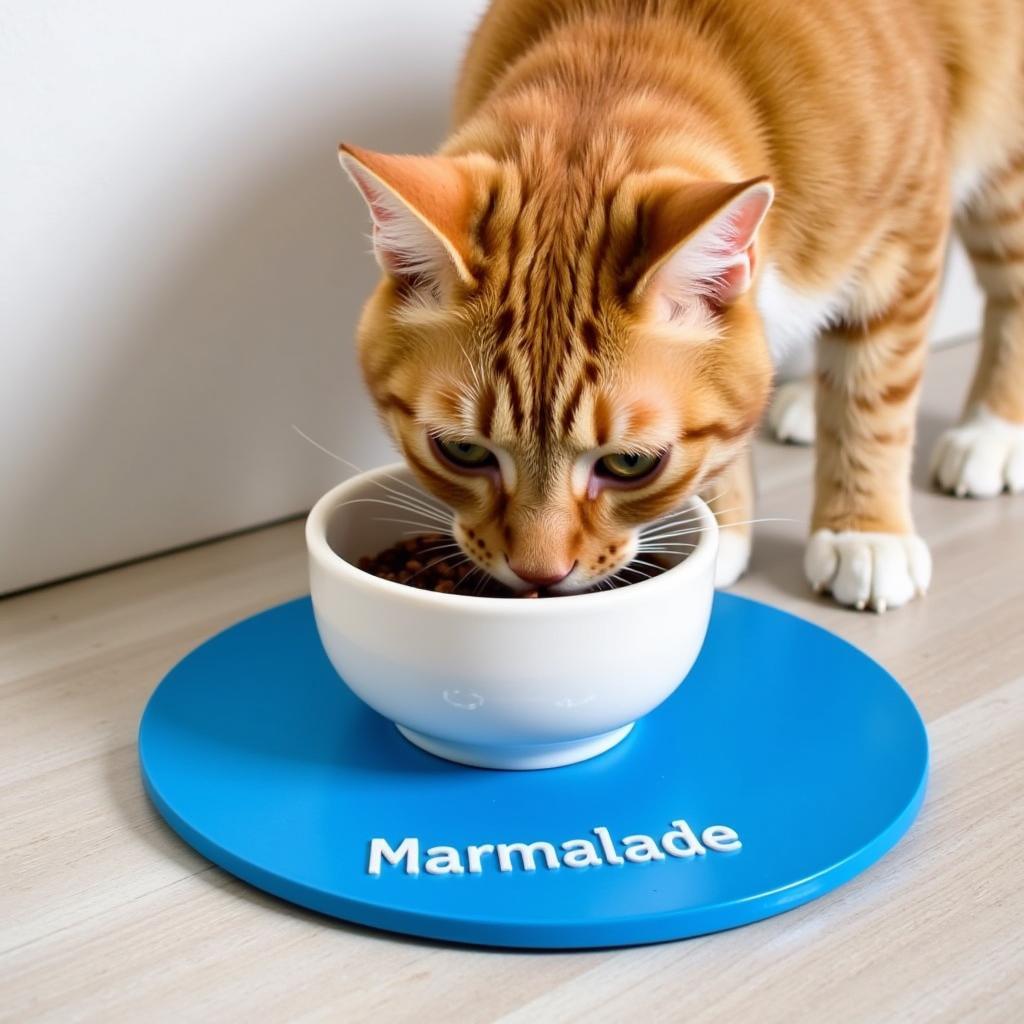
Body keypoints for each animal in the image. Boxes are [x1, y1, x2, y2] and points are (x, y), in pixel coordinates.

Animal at [337, 0, 1024, 606]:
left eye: (630, 463)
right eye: (463, 452)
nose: (539, 574)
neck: (627, 39)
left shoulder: (905, 232)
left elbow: (874, 397)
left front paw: (865, 531)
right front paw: (724, 525)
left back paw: (989, 434)